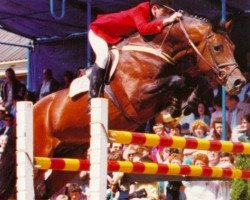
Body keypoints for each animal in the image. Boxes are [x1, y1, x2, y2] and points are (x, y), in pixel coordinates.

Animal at [0, 12, 246, 198]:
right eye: (217, 47)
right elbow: (180, 80)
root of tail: (33, 107)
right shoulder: (138, 96)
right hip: (39, 152)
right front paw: (178, 105)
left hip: (68, 158)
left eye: (234, 47)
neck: (157, 51)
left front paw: (180, 106)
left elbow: (192, 81)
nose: (239, 82)